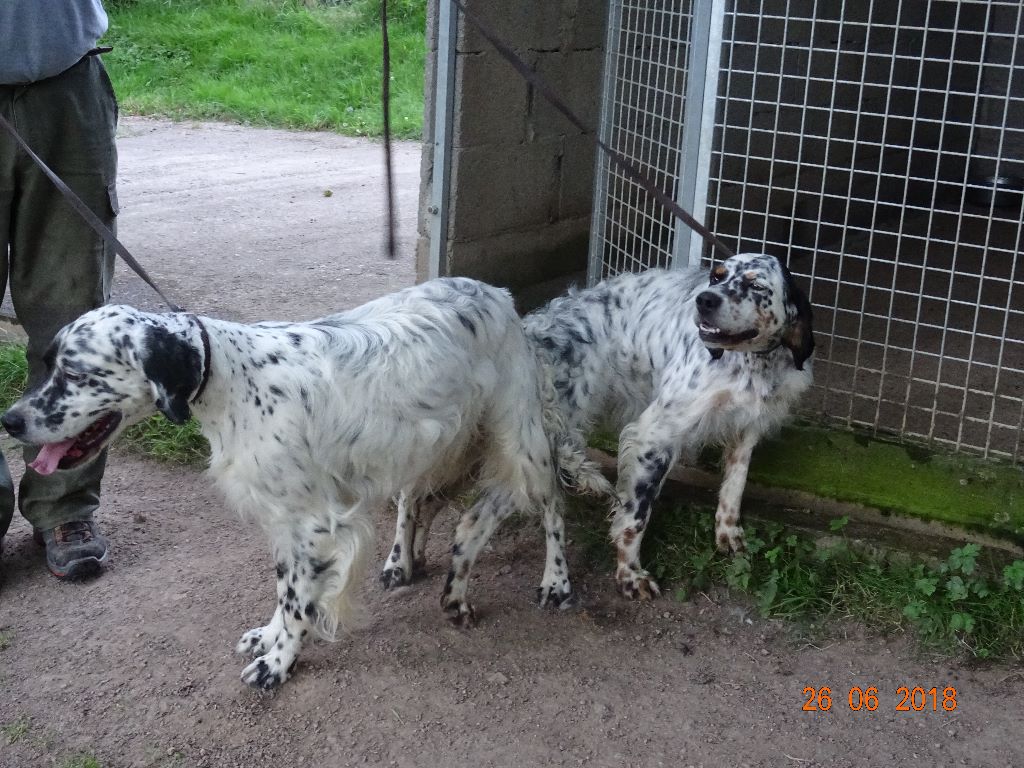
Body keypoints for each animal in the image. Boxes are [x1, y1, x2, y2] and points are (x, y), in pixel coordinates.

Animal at [0, 280, 569, 688]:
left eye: (77, 374)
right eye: (48, 364)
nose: (10, 420)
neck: (234, 382)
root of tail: (497, 292)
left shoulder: (313, 523)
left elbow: (299, 601)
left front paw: (279, 663)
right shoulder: (283, 519)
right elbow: (285, 588)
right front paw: (269, 638)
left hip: (523, 440)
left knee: (550, 504)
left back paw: (555, 583)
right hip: (424, 443)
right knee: (417, 502)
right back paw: (402, 562)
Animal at [385, 256, 815, 606]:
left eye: (757, 286)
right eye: (718, 275)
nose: (705, 300)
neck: (753, 363)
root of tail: (526, 335)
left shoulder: (747, 428)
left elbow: (734, 486)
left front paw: (728, 534)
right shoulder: (653, 434)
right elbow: (634, 517)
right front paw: (629, 575)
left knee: (430, 501)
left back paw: (421, 561)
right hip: (531, 451)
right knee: (454, 508)